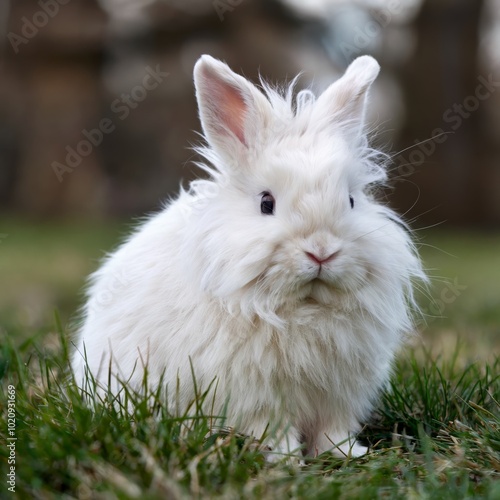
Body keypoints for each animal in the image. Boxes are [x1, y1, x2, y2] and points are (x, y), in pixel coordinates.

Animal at [72, 55, 424, 460]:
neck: (304, 308)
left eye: (351, 200)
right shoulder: (257, 397)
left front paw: (346, 453)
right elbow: (273, 427)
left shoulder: (337, 396)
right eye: (266, 203)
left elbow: (331, 429)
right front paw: (286, 459)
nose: (321, 251)